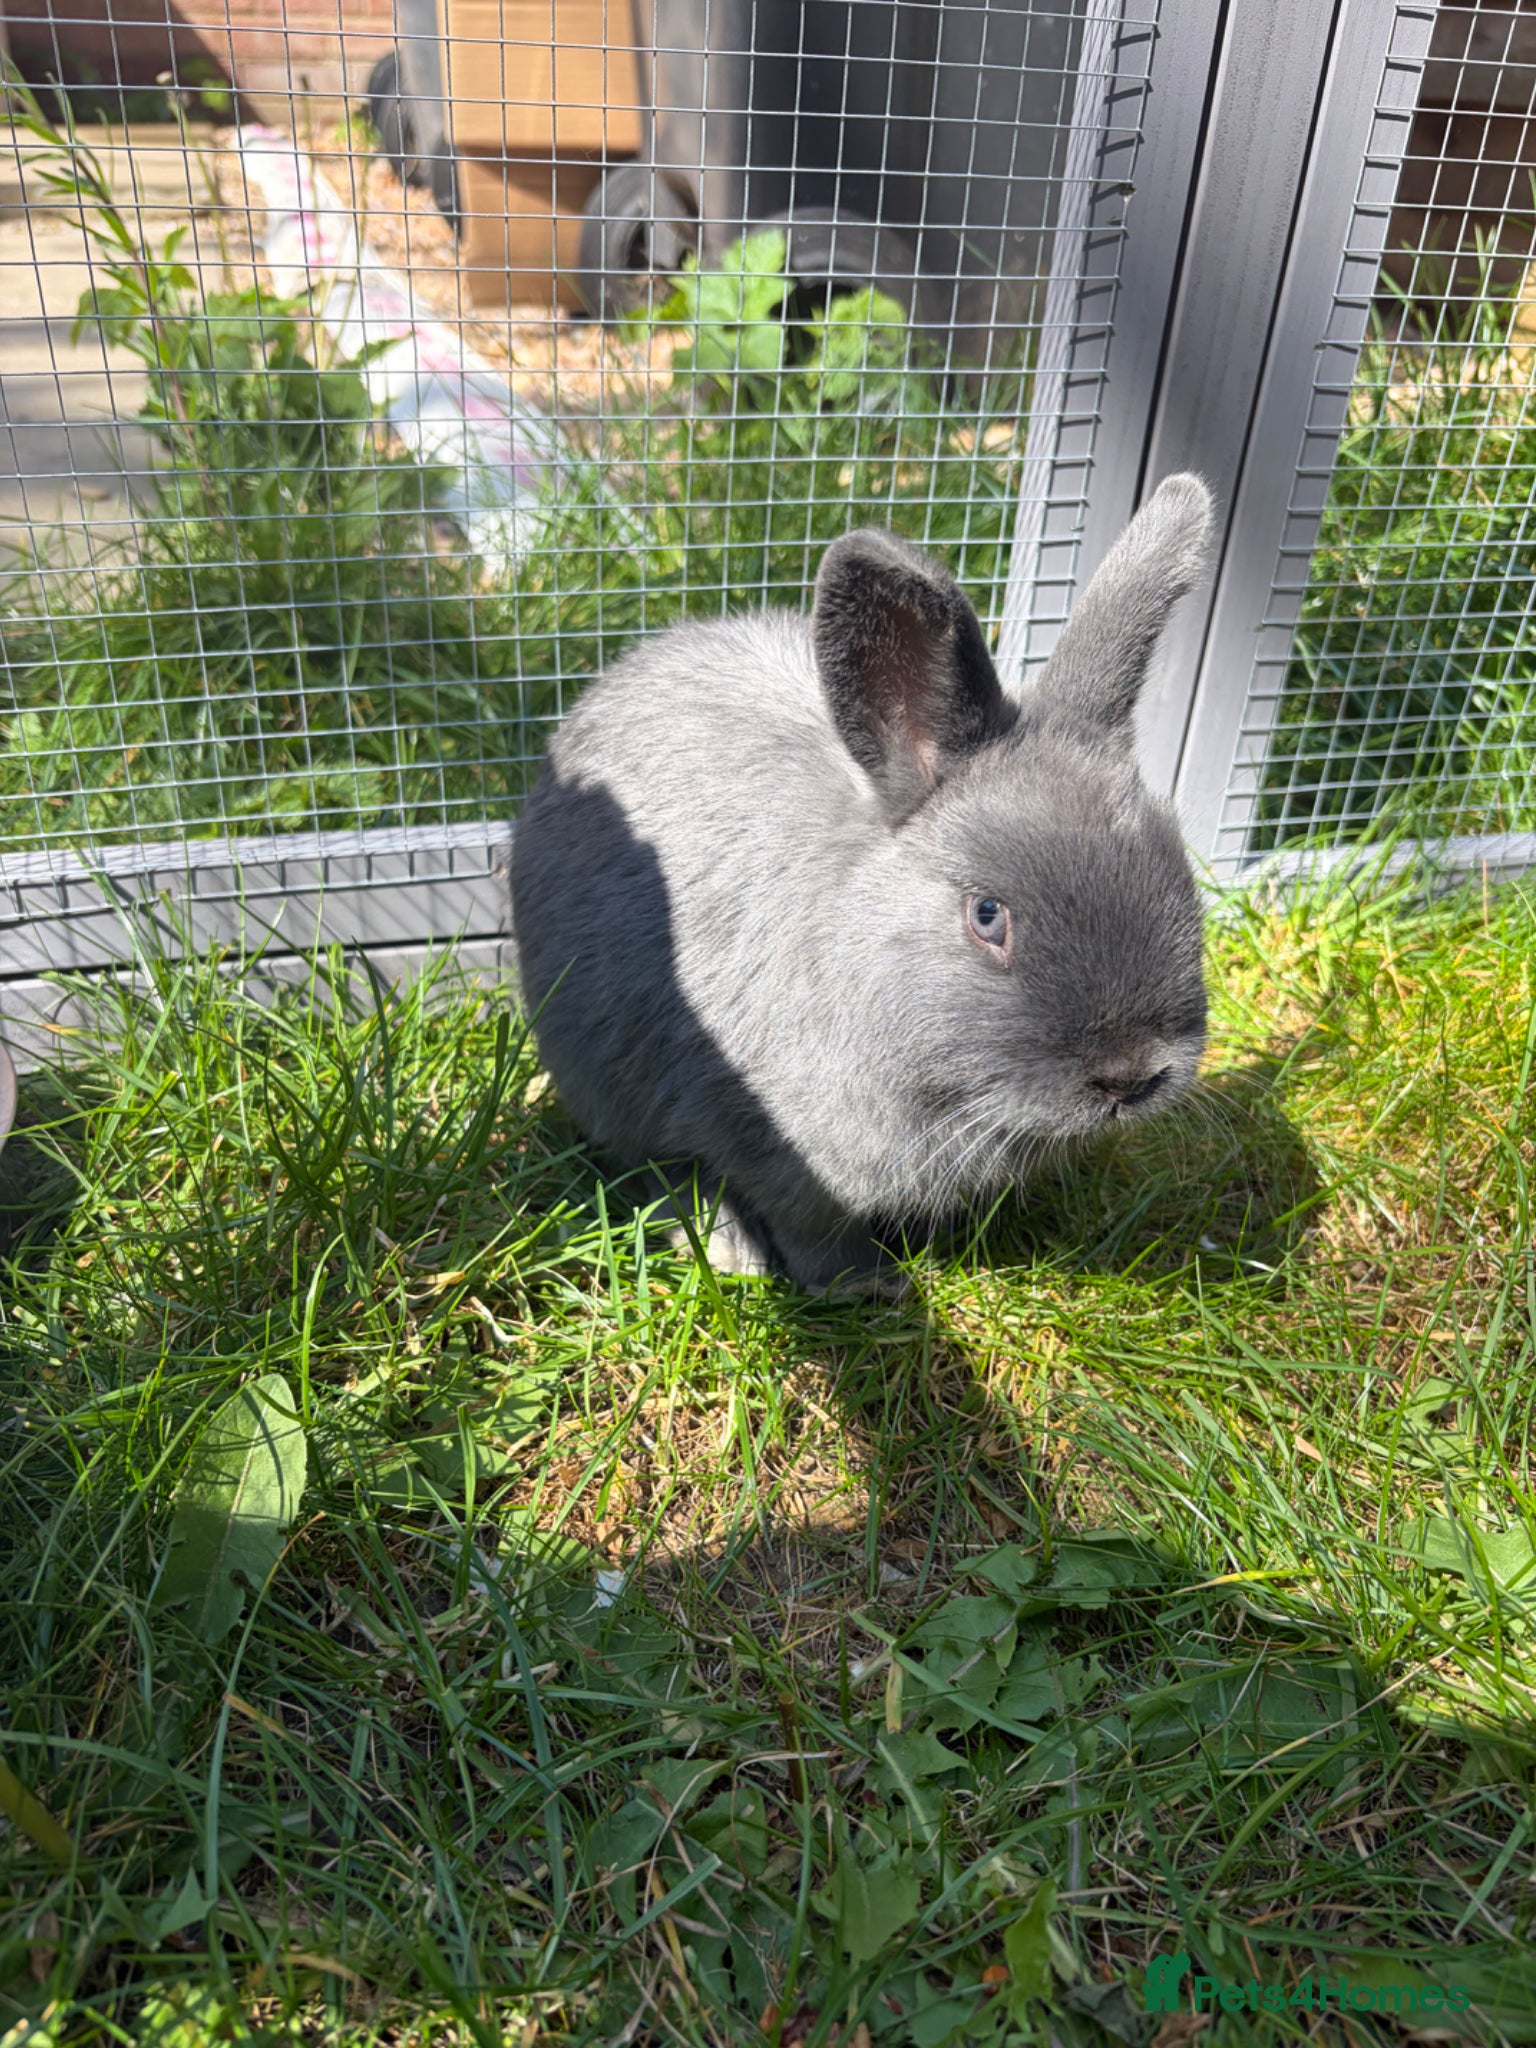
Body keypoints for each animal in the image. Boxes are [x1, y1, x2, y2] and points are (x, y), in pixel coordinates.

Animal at [511, 473, 1214, 1295]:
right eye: (987, 915)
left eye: (1179, 873)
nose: (1132, 1076)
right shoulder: (777, 1148)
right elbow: (810, 1227)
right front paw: (865, 1285)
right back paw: (732, 1250)